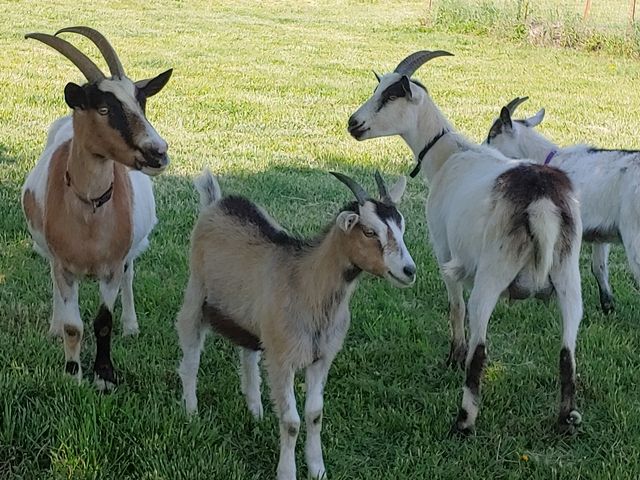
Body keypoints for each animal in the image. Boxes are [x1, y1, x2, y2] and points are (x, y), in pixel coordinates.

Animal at [21, 27, 172, 390]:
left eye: (141, 102)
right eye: (103, 109)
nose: (158, 152)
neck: (89, 212)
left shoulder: (112, 267)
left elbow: (104, 321)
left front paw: (104, 376)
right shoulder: (64, 266)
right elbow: (73, 325)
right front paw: (72, 373)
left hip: (131, 251)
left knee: (131, 275)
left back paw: (132, 326)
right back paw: (52, 327)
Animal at [175, 169, 416, 480]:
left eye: (401, 227)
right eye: (369, 231)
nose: (409, 271)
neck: (307, 285)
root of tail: (215, 202)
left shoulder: (321, 358)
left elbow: (314, 415)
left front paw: (317, 469)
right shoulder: (282, 358)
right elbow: (291, 422)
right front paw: (287, 472)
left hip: (251, 317)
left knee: (248, 352)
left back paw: (255, 411)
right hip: (197, 291)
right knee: (190, 353)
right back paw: (191, 412)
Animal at [348, 50, 584, 434]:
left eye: (390, 95)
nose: (353, 124)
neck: (448, 156)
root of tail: (541, 201)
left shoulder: (445, 252)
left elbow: (455, 306)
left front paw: (453, 357)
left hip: (492, 273)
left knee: (481, 347)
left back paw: (463, 422)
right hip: (568, 276)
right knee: (567, 351)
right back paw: (565, 419)